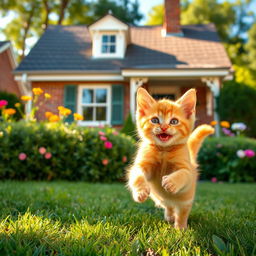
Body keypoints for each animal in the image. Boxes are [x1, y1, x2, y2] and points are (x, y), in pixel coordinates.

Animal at [128, 87, 214, 228]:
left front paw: (172, 182)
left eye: (174, 121)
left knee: (182, 213)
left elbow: (183, 174)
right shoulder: (141, 165)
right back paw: (169, 216)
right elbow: (137, 175)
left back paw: (181, 228)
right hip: (159, 198)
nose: (164, 127)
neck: (164, 150)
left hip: (185, 200)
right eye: (155, 120)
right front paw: (140, 191)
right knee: (168, 206)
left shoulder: (187, 170)